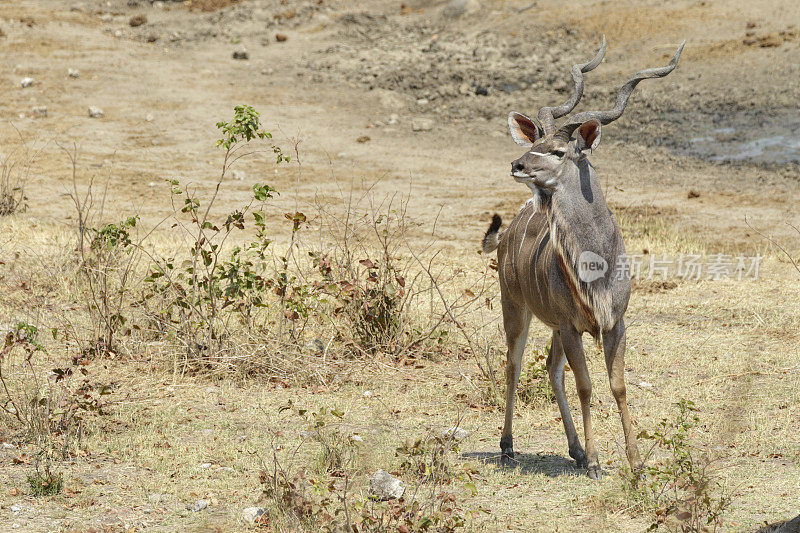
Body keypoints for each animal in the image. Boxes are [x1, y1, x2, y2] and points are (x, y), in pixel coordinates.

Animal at [482, 38, 680, 478]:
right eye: (533, 145)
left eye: (557, 151)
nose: (517, 164)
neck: (596, 264)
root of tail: (507, 233)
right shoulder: (573, 326)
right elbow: (586, 385)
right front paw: (594, 462)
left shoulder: (614, 323)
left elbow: (617, 386)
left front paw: (635, 464)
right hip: (515, 308)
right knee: (514, 364)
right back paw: (507, 447)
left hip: (553, 327)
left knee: (551, 370)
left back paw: (571, 448)